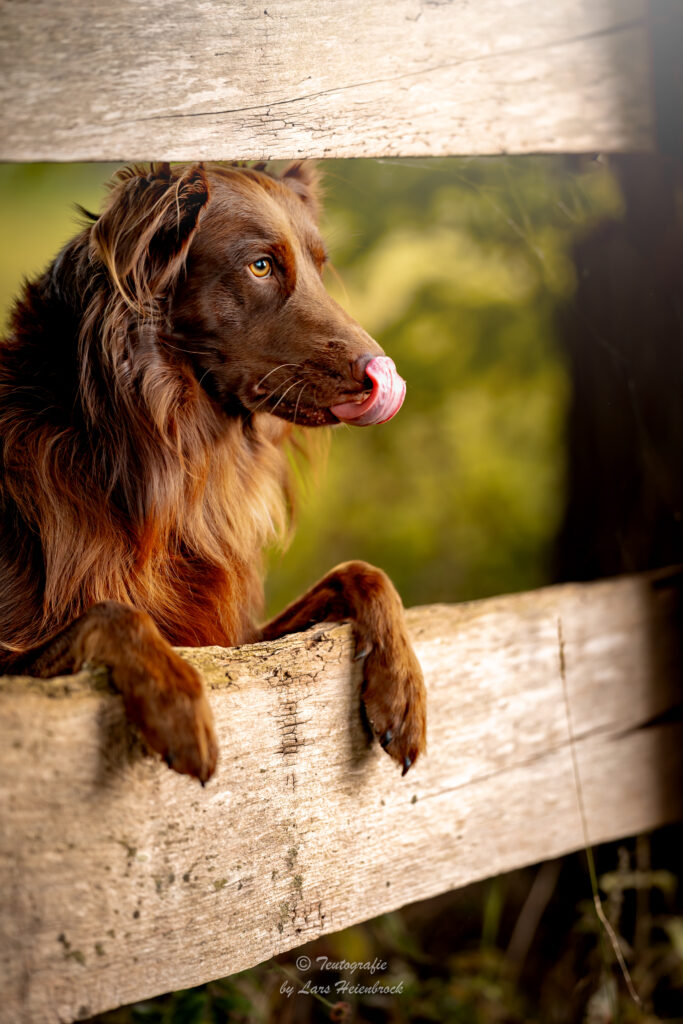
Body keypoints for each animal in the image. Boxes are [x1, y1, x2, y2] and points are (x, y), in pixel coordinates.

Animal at [0, 159, 428, 782]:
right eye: (260, 265)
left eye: (320, 268)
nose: (382, 374)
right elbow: (117, 613)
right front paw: (177, 700)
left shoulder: (237, 643)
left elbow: (362, 571)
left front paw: (404, 690)